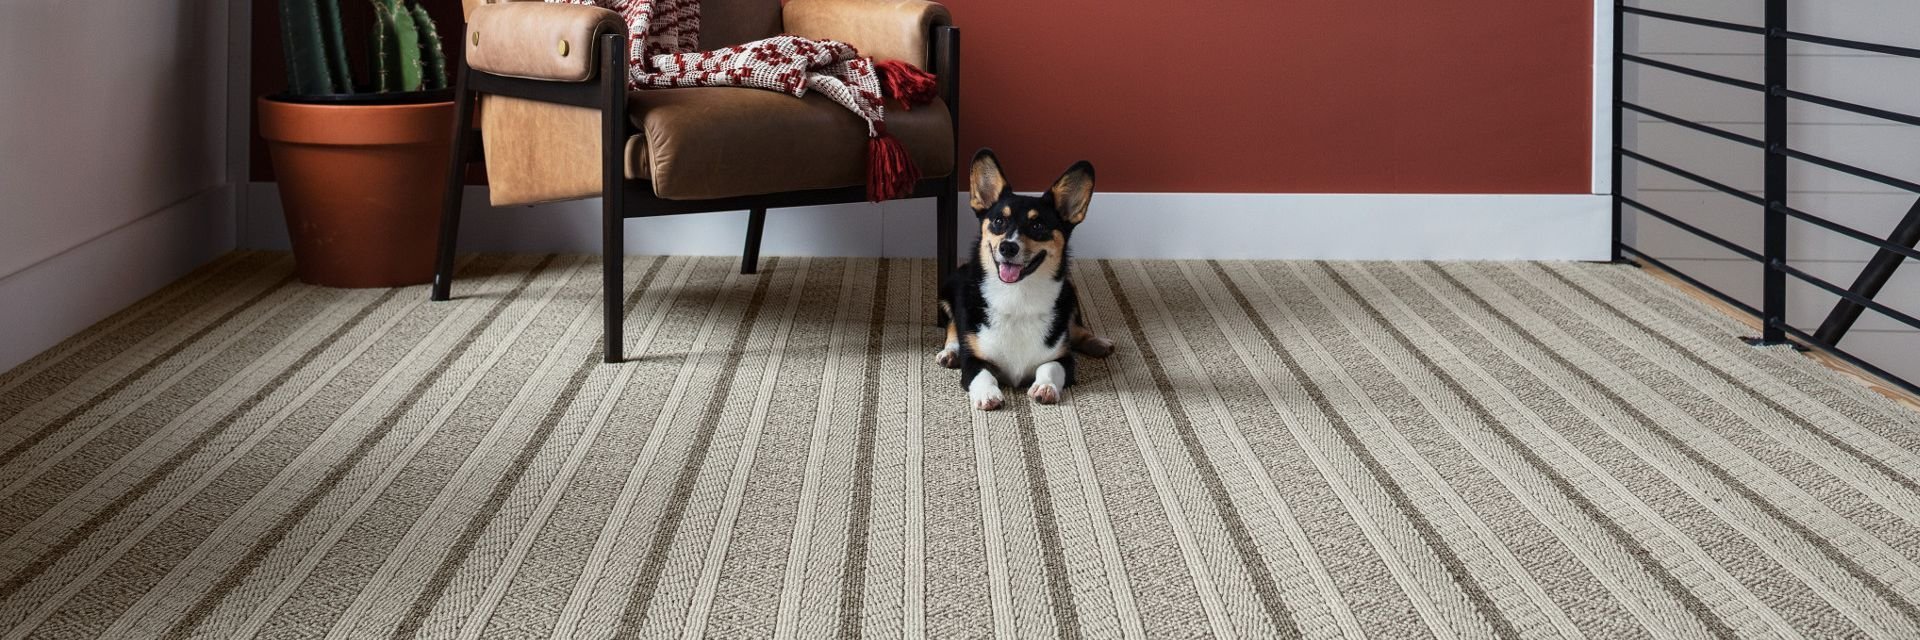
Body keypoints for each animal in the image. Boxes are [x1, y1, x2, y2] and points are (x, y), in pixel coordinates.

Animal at [933, 148, 1113, 409]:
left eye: (1038, 225)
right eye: (999, 221)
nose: (1008, 247)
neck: (1017, 296)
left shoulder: (1065, 360)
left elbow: (1050, 367)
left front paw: (1045, 387)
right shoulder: (973, 362)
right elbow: (983, 374)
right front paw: (988, 395)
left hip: (1070, 294)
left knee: (1077, 329)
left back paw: (1098, 343)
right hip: (949, 289)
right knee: (953, 326)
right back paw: (950, 353)